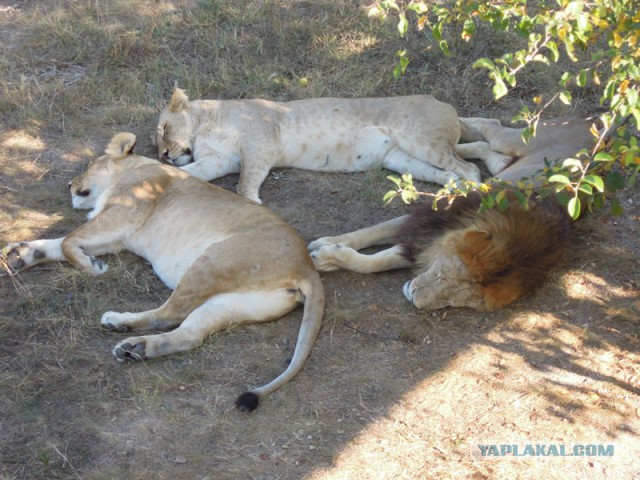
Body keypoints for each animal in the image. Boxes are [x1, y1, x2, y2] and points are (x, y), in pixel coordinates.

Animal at [3, 133, 325, 412]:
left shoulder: (123, 213)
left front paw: (90, 267)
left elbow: (68, 241)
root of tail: (307, 266)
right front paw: (24, 254)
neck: (136, 168)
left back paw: (118, 323)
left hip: (211, 261)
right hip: (232, 303)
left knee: (168, 314)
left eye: (89, 164)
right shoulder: (119, 237)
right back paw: (135, 347)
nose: (70, 185)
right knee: (189, 334)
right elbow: (60, 243)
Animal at [152, 87, 482, 203]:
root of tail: (444, 104)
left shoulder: (261, 144)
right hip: (401, 158)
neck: (203, 128)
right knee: (446, 172)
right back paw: (451, 190)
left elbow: (244, 184)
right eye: (155, 143)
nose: (164, 155)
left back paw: (473, 194)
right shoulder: (221, 160)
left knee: (470, 169)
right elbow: (195, 173)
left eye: (163, 129)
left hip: (420, 140)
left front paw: (252, 203)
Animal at [309, 116, 596, 310]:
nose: (414, 298)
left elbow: (374, 262)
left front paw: (330, 257)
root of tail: (593, 124)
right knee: (490, 127)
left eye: (451, 300)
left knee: (480, 148)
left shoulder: (428, 241)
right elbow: (368, 234)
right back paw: (461, 124)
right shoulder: (433, 218)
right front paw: (325, 245)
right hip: (520, 139)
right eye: (441, 275)